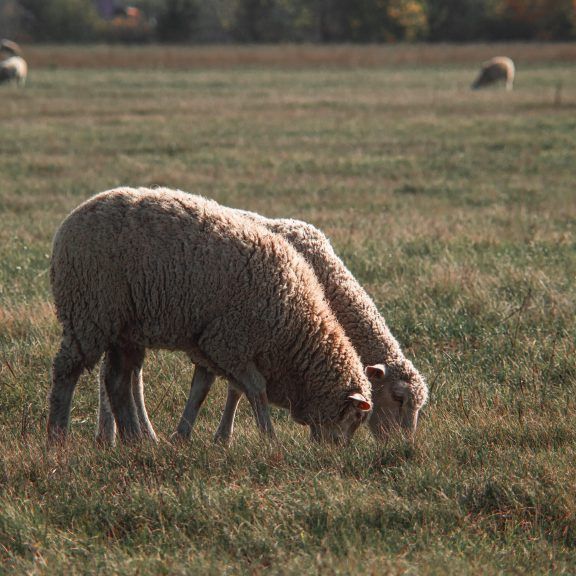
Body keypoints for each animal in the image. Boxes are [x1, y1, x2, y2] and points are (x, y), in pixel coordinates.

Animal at [48, 188, 374, 446]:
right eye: (352, 419)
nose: (332, 453)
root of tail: (69, 222)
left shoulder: (209, 346)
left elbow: (201, 390)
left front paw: (183, 436)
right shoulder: (228, 342)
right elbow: (256, 388)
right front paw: (269, 439)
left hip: (122, 328)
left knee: (117, 380)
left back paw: (134, 439)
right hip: (89, 313)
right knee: (67, 371)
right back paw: (59, 437)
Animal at [98, 212, 428, 446]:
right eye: (398, 397)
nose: (403, 446)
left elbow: (220, 387)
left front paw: (211, 437)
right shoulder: (242, 332)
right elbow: (234, 387)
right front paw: (220, 438)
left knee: (129, 374)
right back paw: (111, 434)